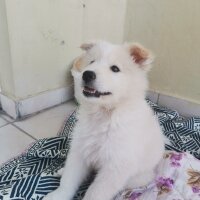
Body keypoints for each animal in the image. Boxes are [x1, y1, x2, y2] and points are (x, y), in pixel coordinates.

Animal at [43, 40, 164, 200]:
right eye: (91, 62)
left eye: (115, 68)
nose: (87, 74)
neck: (104, 113)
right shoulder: (80, 150)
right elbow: (69, 179)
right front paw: (58, 195)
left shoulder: (115, 166)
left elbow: (95, 192)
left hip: (138, 177)